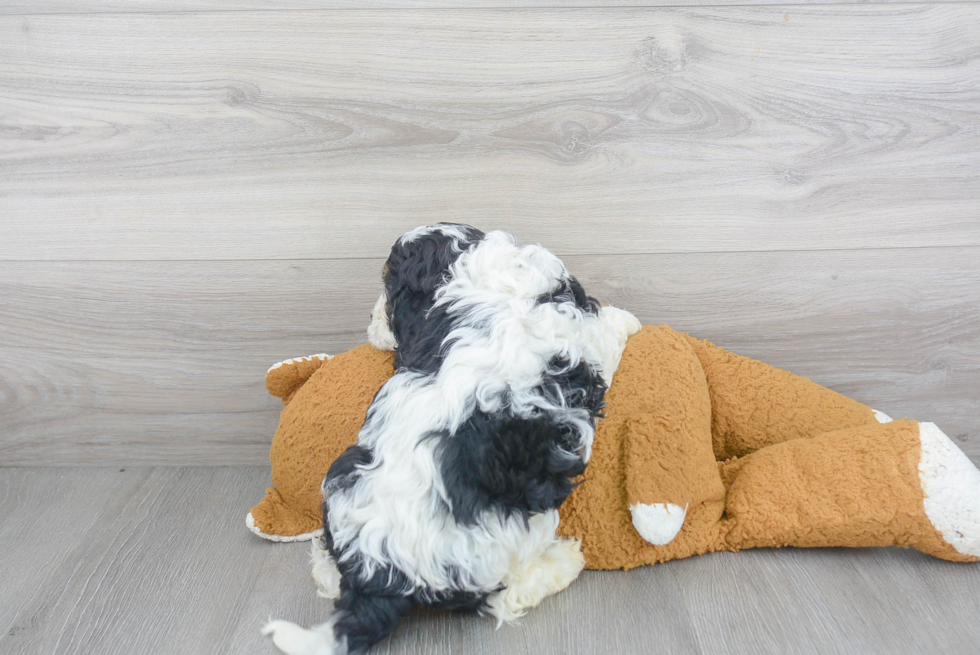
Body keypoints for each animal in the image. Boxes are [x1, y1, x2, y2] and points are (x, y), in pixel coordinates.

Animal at [264, 226, 640, 655]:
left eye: (388, 290)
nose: (370, 321)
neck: (480, 273)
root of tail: (381, 569)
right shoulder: (586, 346)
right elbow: (608, 333)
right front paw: (627, 319)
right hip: (508, 534)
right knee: (502, 598)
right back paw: (566, 560)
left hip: (342, 477)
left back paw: (325, 565)